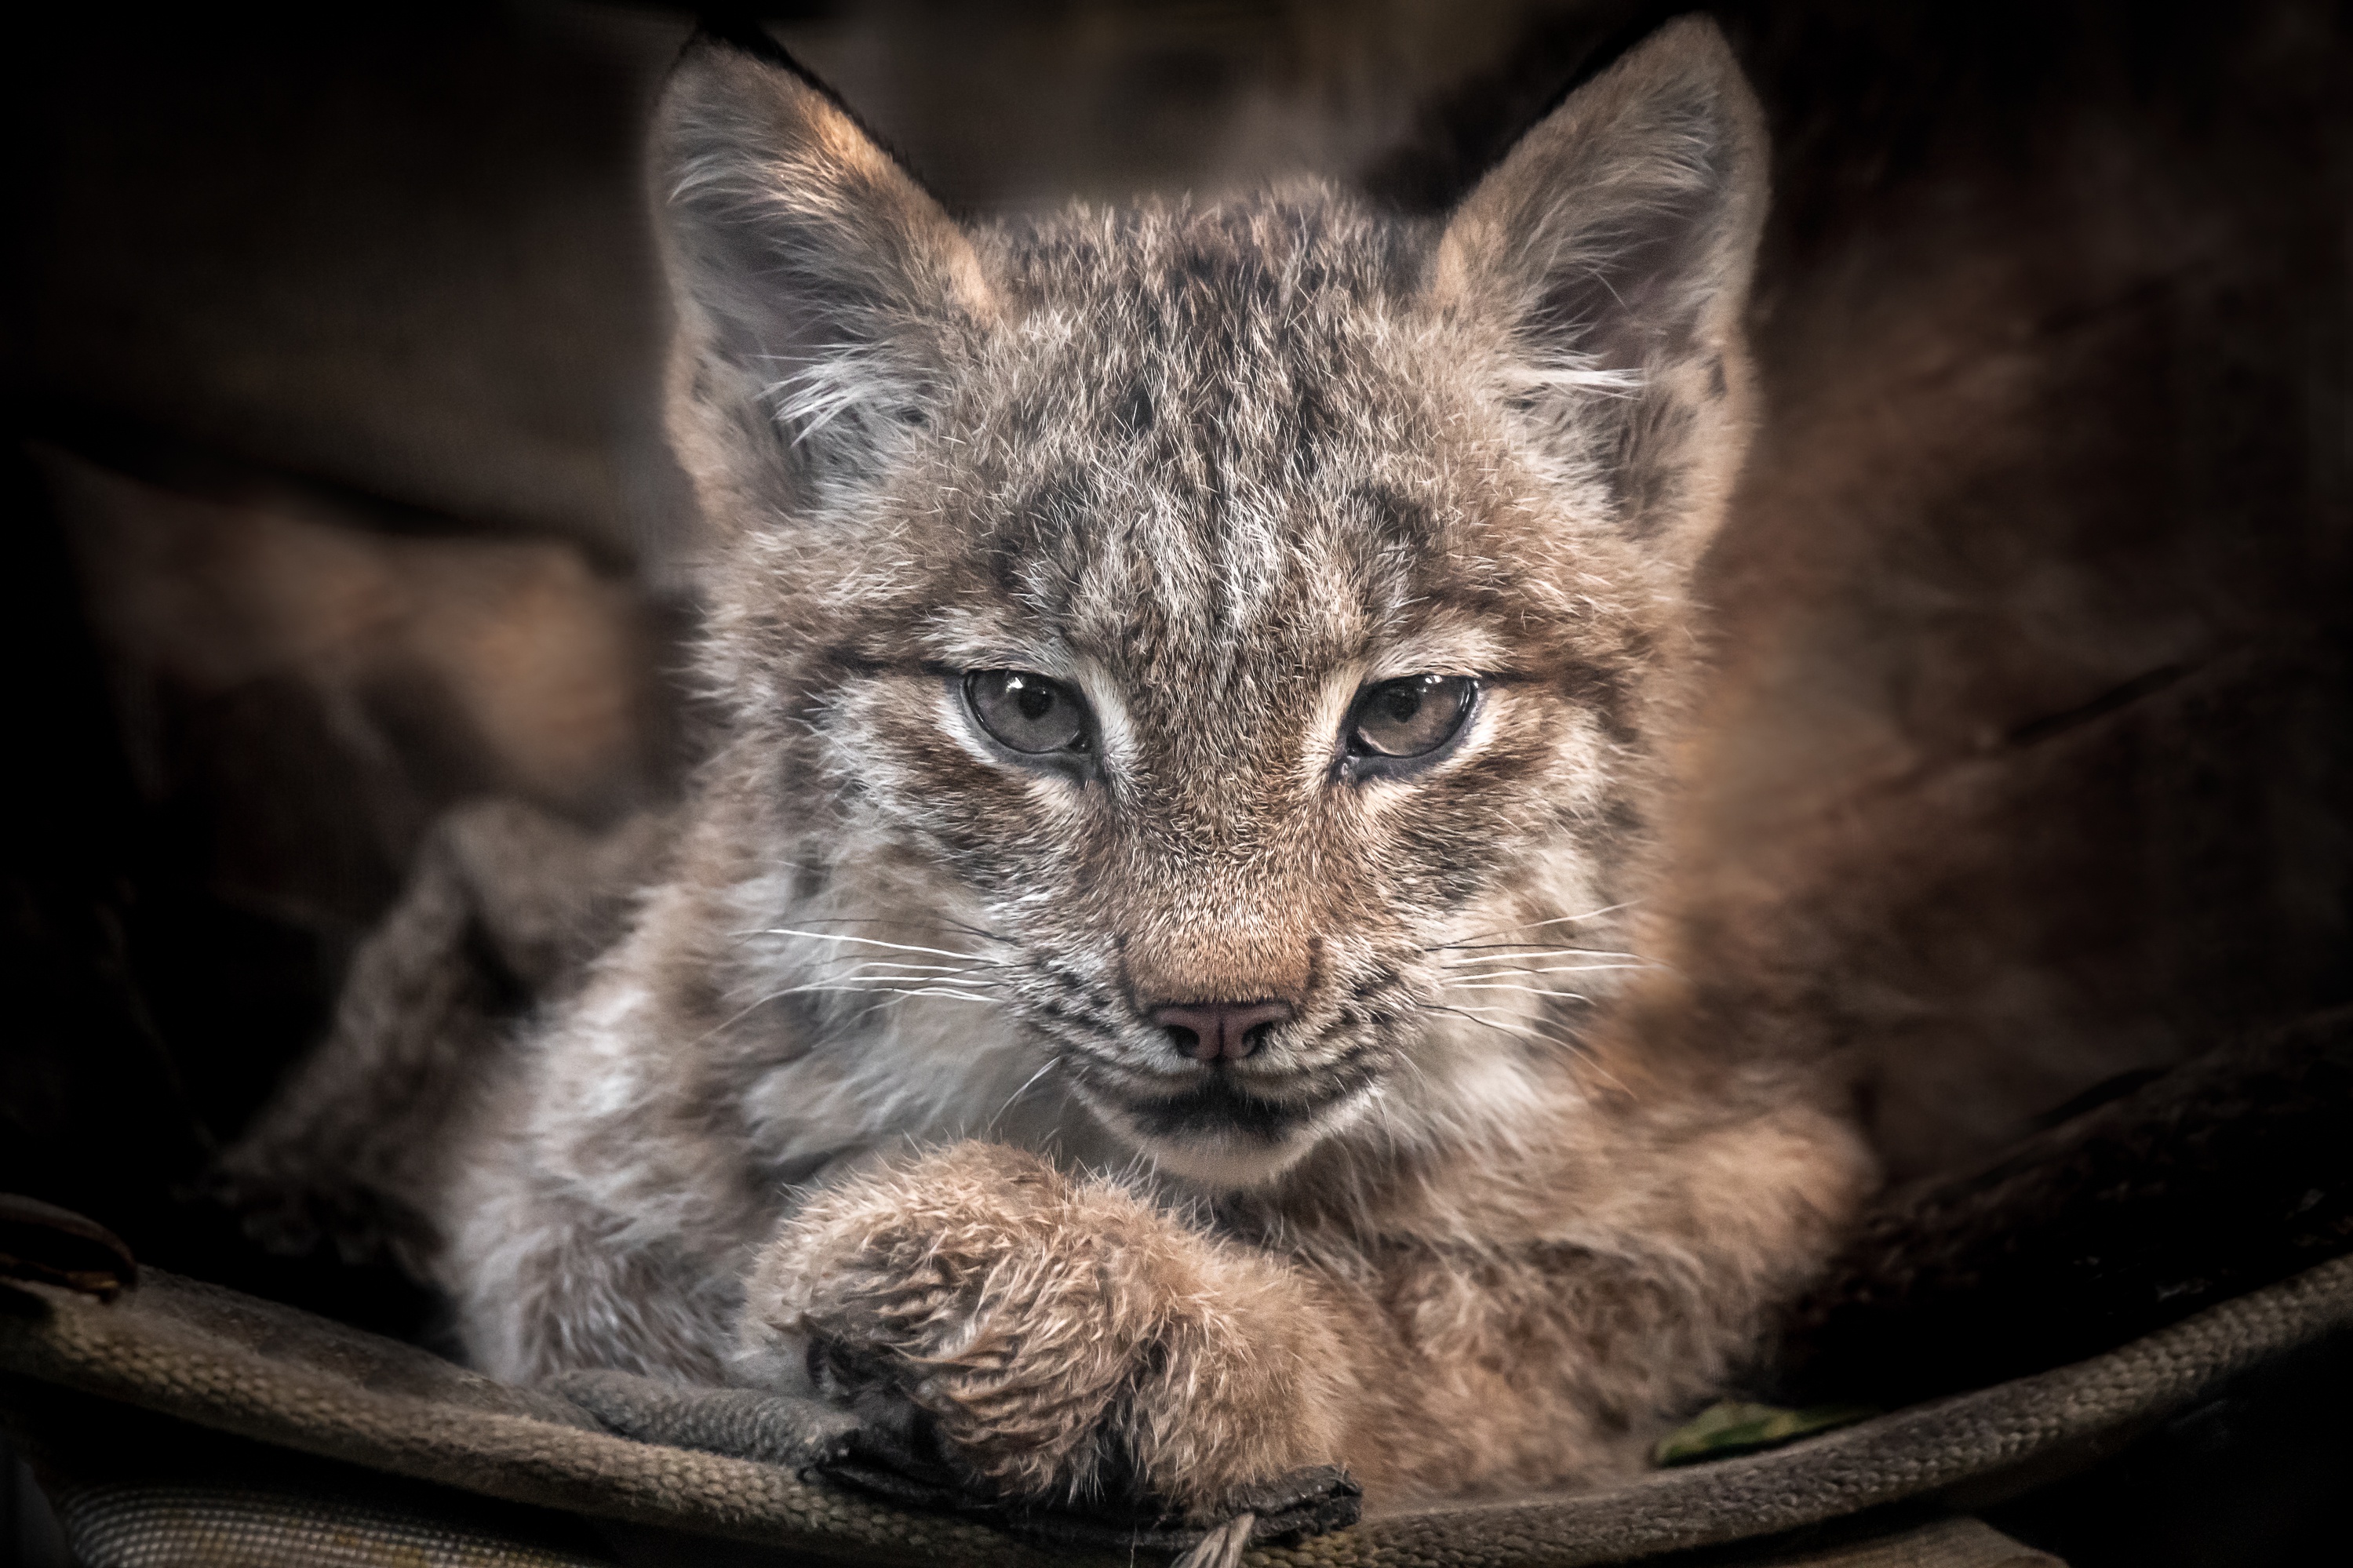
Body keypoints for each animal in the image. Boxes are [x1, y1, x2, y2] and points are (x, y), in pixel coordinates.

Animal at [437, 12, 1873, 1504]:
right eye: (1023, 707)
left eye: (1410, 714)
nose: (1218, 1014)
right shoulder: (539, 1173)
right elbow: (617, 1312)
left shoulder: (1766, 1177)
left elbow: (1454, 1330)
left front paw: (1139, 1313)